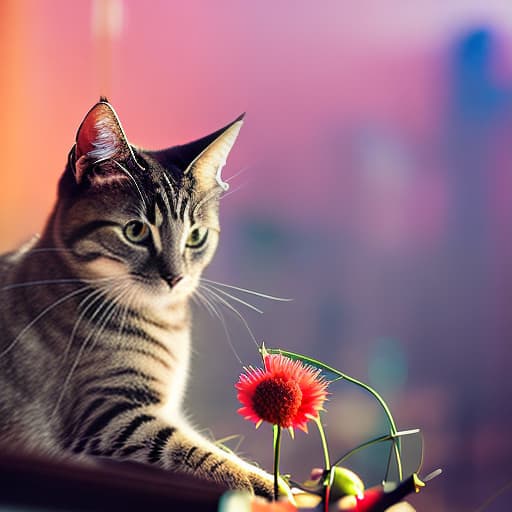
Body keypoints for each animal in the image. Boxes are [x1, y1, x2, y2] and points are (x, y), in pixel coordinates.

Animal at [0, 98, 276, 498]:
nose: (175, 278)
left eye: (196, 236)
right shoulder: (111, 415)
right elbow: (201, 453)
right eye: (135, 231)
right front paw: (273, 485)